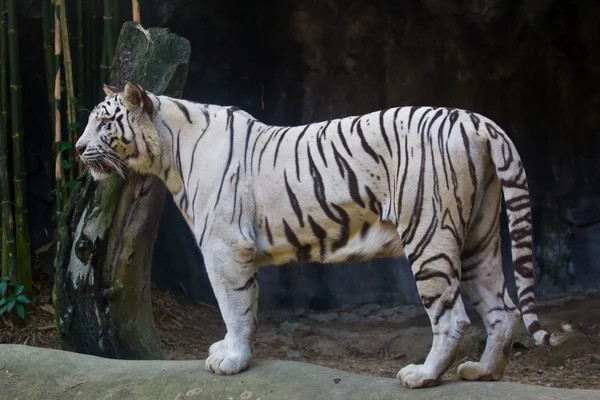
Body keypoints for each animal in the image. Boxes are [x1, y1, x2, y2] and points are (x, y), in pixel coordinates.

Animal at [77, 82, 568, 390]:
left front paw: (231, 360)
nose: (79, 148)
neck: (168, 153)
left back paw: (422, 376)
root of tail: (473, 118)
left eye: (104, 123)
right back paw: (482, 373)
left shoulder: (225, 247)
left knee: (453, 318)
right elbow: (241, 308)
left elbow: (235, 307)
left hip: (430, 234)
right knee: (502, 309)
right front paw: (229, 351)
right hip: (479, 235)